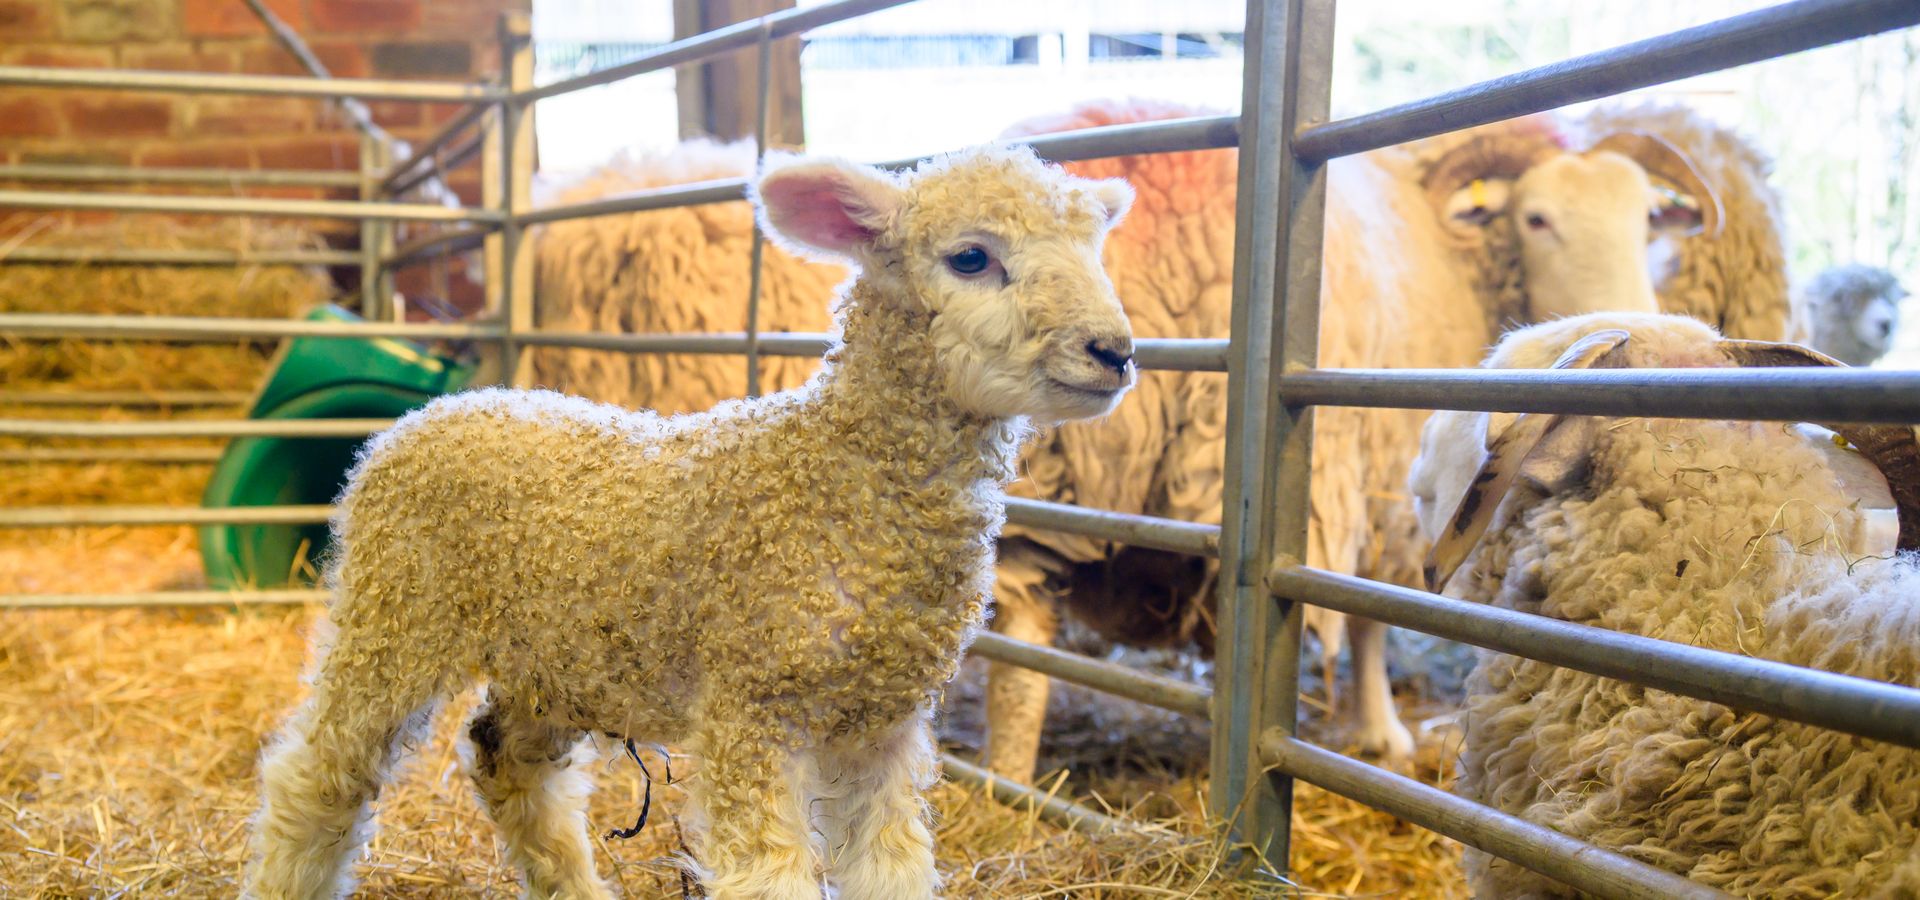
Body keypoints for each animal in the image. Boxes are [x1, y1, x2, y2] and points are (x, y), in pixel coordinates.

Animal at [242, 144, 1140, 900]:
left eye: (1094, 250)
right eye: (971, 258)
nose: (1115, 351)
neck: (840, 479)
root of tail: (432, 412)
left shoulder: (884, 723)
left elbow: (892, 869)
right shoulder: (752, 702)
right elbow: (771, 880)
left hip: (558, 658)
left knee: (506, 762)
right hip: (394, 617)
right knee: (316, 775)